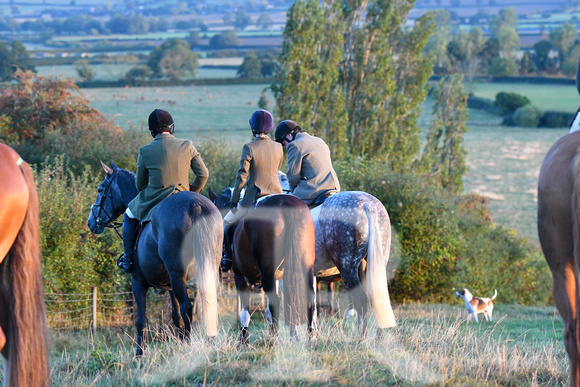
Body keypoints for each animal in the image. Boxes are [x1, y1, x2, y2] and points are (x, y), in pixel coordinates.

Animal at [87, 161, 223, 354]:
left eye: (100, 189)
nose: (91, 222)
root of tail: (196, 205)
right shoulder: (170, 285)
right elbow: (176, 317)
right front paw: (181, 343)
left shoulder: (137, 282)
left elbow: (141, 320)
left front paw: (139, 353)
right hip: (205, 268)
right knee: (207, 302)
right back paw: (209, 342)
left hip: (177, 273)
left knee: (187, 306)